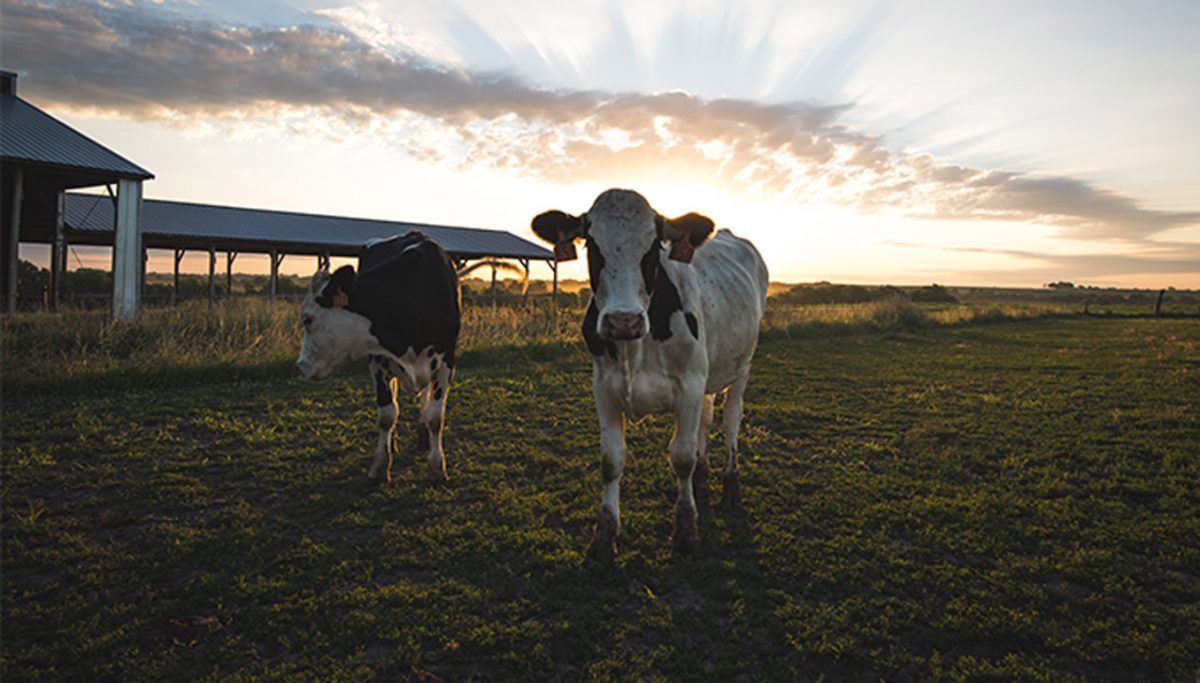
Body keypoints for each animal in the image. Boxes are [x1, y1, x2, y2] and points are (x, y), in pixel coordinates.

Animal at [295, 232, 467, 484]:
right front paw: (380, 466)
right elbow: (387, 414)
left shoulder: (446, 360)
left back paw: (422, 435)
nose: (300, 366)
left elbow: (436, 416)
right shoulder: (378, 360)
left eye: (307, 319)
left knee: (424, 397)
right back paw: (392, 442)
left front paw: (437, 467)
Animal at [531, 188, 768, 559]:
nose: (623, 321)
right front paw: (604, 537)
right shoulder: (604, 388)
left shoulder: (689, 385)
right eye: (591, 243)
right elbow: (611, 460)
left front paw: (686, 531)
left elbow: (681, 457)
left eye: (654, 245)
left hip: (742, 367)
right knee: (707, 417)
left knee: (731, 420)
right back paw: (702, 478)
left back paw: (730, 487)